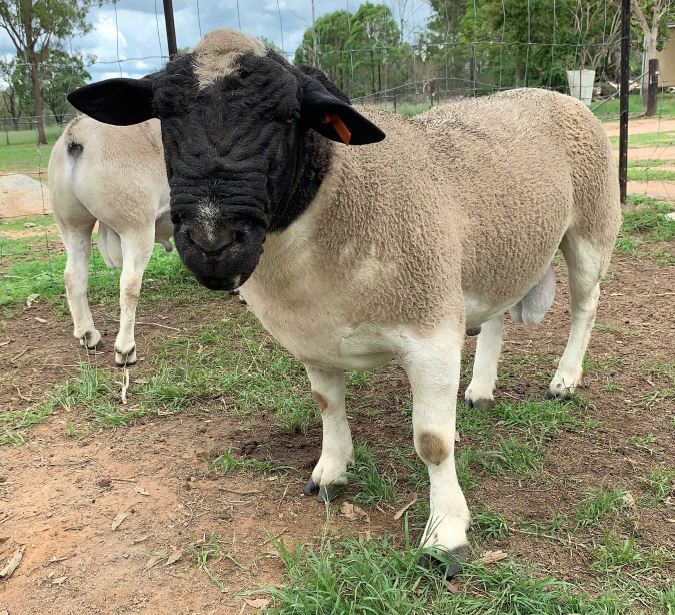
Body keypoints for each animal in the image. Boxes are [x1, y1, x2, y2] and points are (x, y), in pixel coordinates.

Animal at [48, 115, 172, 366]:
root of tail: (78, 132)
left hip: (72, 225)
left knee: (73, 276)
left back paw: (88, 335)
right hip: (136, 226)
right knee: (129, 284)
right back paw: (125, 349)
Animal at [67, 29, 622, 577]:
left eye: (287, 116)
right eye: (164, 115)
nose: (212, 243)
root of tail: (554, 94)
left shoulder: (432, 332)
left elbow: (433, 442)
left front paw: (445, 537)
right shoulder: (313, 338)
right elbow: (327, 405)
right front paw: (330, 473)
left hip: (592, 227)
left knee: (586, 306)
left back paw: (564, 380)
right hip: (497, 254)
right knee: (498, 317)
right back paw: (481, 389)